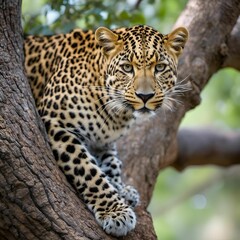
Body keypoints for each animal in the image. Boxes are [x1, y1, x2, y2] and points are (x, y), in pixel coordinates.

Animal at [24, 24, 189, 236]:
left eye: (160, 67)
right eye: (127, 68)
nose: (145, 96)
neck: (114, 112)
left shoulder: (103, 141)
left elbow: (113, 163)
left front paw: (122, 189)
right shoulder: (55, 122)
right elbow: (88, 171)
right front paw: (116, 212)